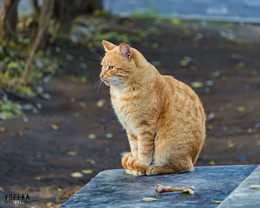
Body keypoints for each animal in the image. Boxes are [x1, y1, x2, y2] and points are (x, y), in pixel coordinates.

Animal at [99, 40, 205, 176]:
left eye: (111, 67)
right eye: (102, 66)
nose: (101, 76)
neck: (122, 93)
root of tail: (193, 159)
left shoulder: (145, 126)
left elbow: (144, 151)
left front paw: (141, 165)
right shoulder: (130, 129)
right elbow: (135, 149)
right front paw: (134, 167)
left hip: (166, 145)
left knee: (182, 167)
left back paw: (155, 168)